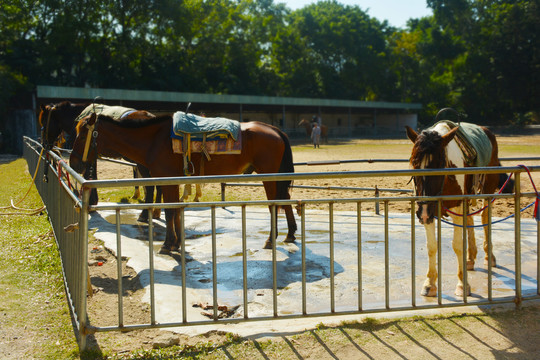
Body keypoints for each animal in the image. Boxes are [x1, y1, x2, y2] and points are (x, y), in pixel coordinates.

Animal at [69, 112, 298, 253]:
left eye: (81, 136)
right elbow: (175, 210)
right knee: (285, 199)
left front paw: (168, 244)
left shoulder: (166, 179)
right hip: (276, 176)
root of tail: (275, 130)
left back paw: (271, 239)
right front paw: (176, 242)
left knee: (275, 204)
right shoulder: (171, 180)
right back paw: (290, 234)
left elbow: (170, 211)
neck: (154, 141)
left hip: (269, 176)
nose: (73, 163)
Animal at [404, 119, 516, 296]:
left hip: (488, 189)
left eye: (439, 166)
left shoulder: (455, 209)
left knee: (484, 217)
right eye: (414, 164)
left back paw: (488, 257)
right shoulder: (428, 212)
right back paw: (470, 259)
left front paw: (463, 285)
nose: (423, 213)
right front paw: (429, 284)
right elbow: (432, 247)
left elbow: (457, 246)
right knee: (470, 220)